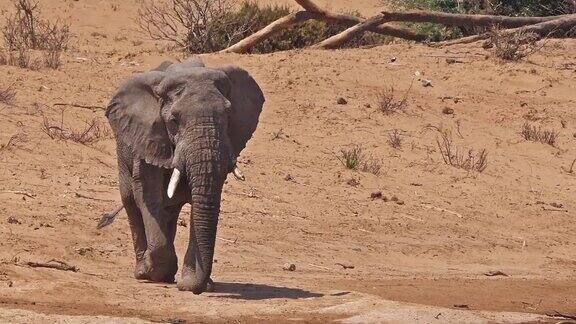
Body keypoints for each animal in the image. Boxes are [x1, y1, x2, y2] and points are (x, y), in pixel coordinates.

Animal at [104, 57, 266, 294]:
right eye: (173, 120)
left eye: (228, 116)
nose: (200, 288)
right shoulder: (148, 136)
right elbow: (147, 195)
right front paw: (157, 273)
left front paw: (189, 282)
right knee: (131, 201)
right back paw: (143, 271)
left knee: (170, 209)